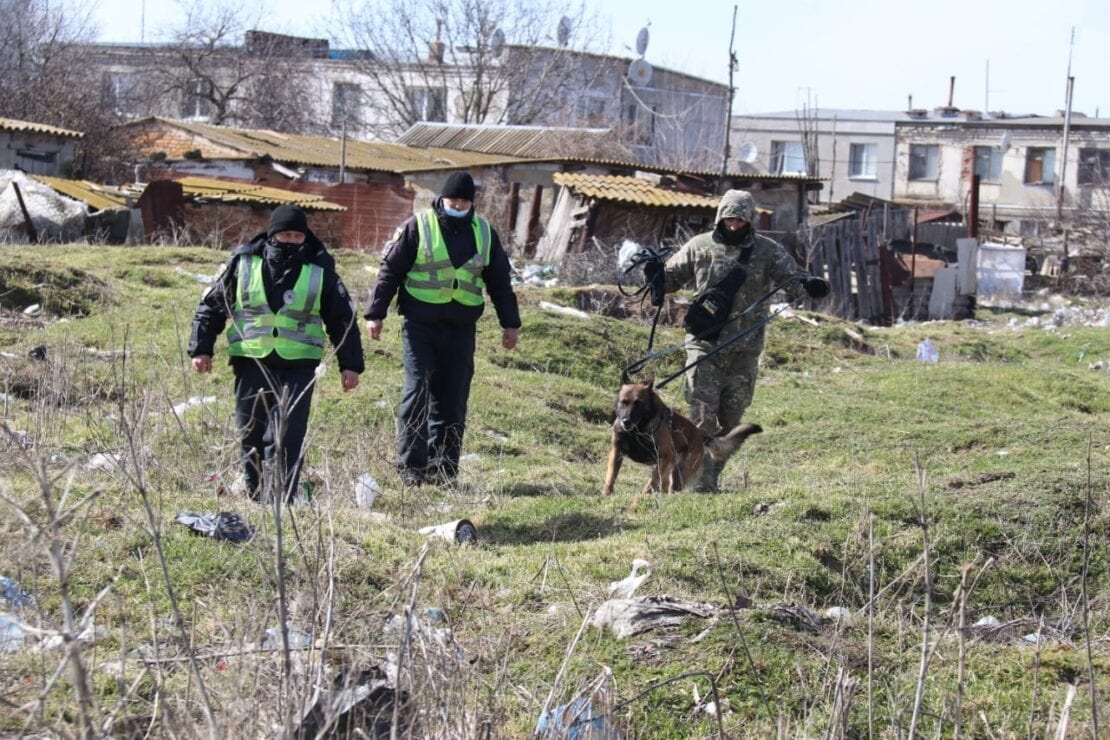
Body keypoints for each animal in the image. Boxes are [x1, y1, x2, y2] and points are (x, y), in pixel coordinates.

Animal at [599, 370, 763, 497]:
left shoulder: (665, 456)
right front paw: (607, 493)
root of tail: (700, 434)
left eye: (638, 403)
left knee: (670, 487)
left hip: (679, 472)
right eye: (623, 402)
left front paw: (644, 495)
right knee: (665, 485)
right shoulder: (617, 451)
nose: (626, 421)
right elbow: (611, 475)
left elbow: (653, 480)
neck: (637, 430)